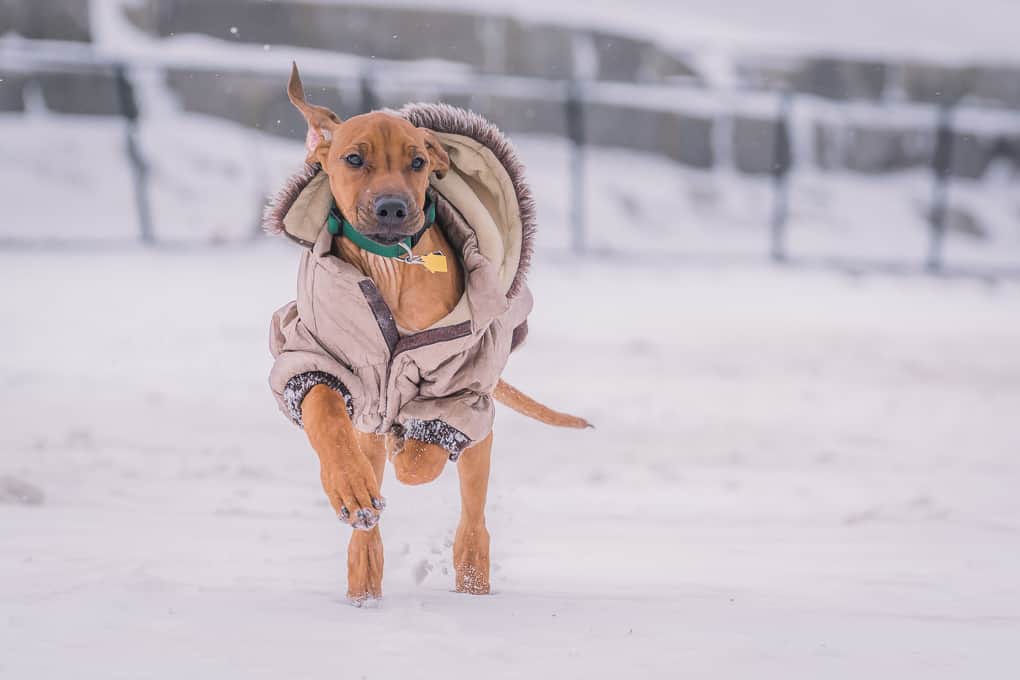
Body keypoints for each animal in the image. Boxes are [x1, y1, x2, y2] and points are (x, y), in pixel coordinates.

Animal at [275, 66, 591, 603]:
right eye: (354, 158)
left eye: (418, 162)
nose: (393, 208)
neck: (390, 268)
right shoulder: (318, 351)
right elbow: (324, 411)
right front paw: (348, 486)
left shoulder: (460, 380)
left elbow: (422, 459)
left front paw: (408, 449)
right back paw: (364, 572)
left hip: (477, 425)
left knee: (471, 503)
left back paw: (470, 574)